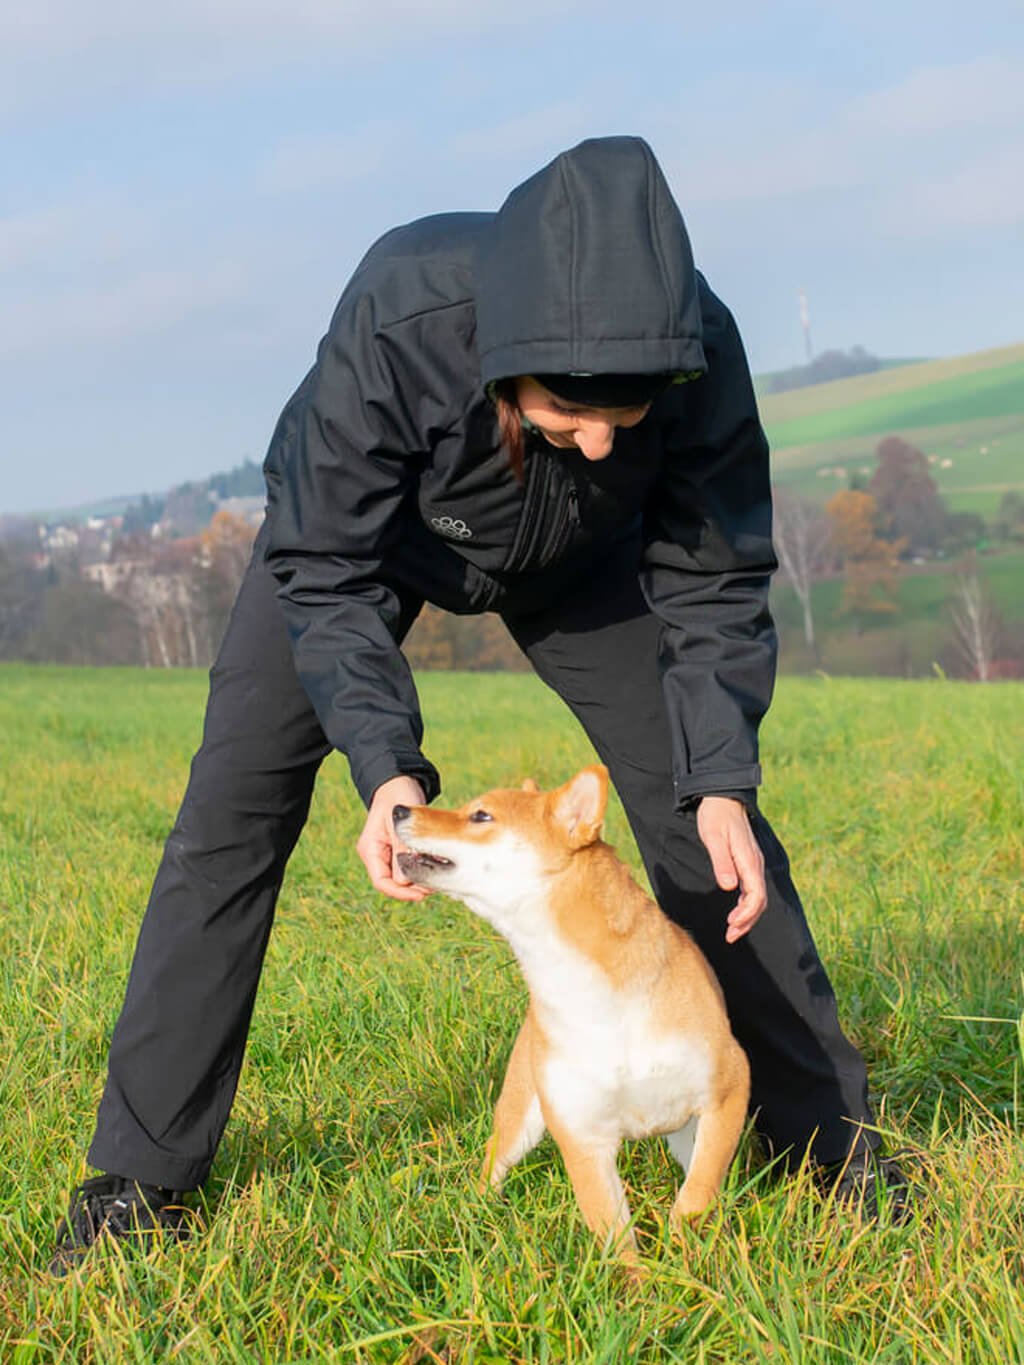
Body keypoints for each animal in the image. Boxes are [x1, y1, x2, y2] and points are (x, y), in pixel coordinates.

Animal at [395, 764, 753, 1250]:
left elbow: (696, 1195)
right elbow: (616, 1242)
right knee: (493, 1162)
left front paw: (683, 1254)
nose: (397, 808)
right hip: (521, 1114)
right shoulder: (583, 1138)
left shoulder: (727, 1091)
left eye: (481, 816)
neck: (599, 1001)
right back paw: (477, 1213)